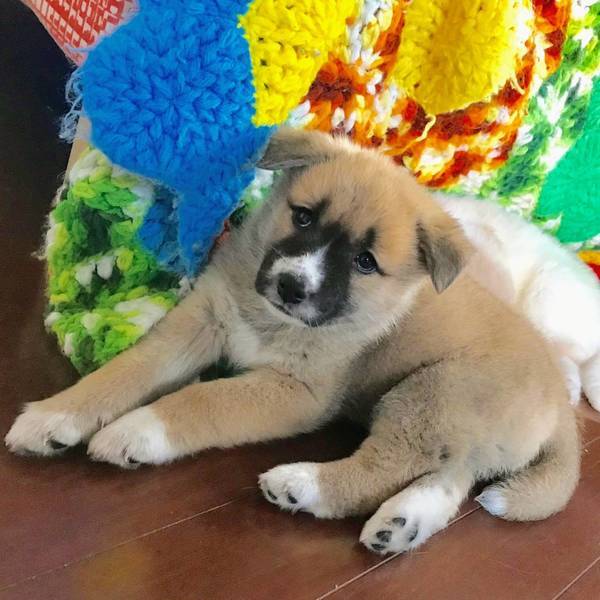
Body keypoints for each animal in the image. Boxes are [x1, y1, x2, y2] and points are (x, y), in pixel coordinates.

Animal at [5, 129, 580, 555]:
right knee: (449, 475)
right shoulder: (200, 323)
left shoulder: (298, 393)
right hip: (457, 422)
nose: (291, 286)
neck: (270, 320)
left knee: (387, 466)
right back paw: (401, 524)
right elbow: (126, 370)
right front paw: (54, 416)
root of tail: (560, 400)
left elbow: (202, 398)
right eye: (303, 217)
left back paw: (303, 486)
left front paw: (135, 432)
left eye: (364, 262)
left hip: (432, 392)